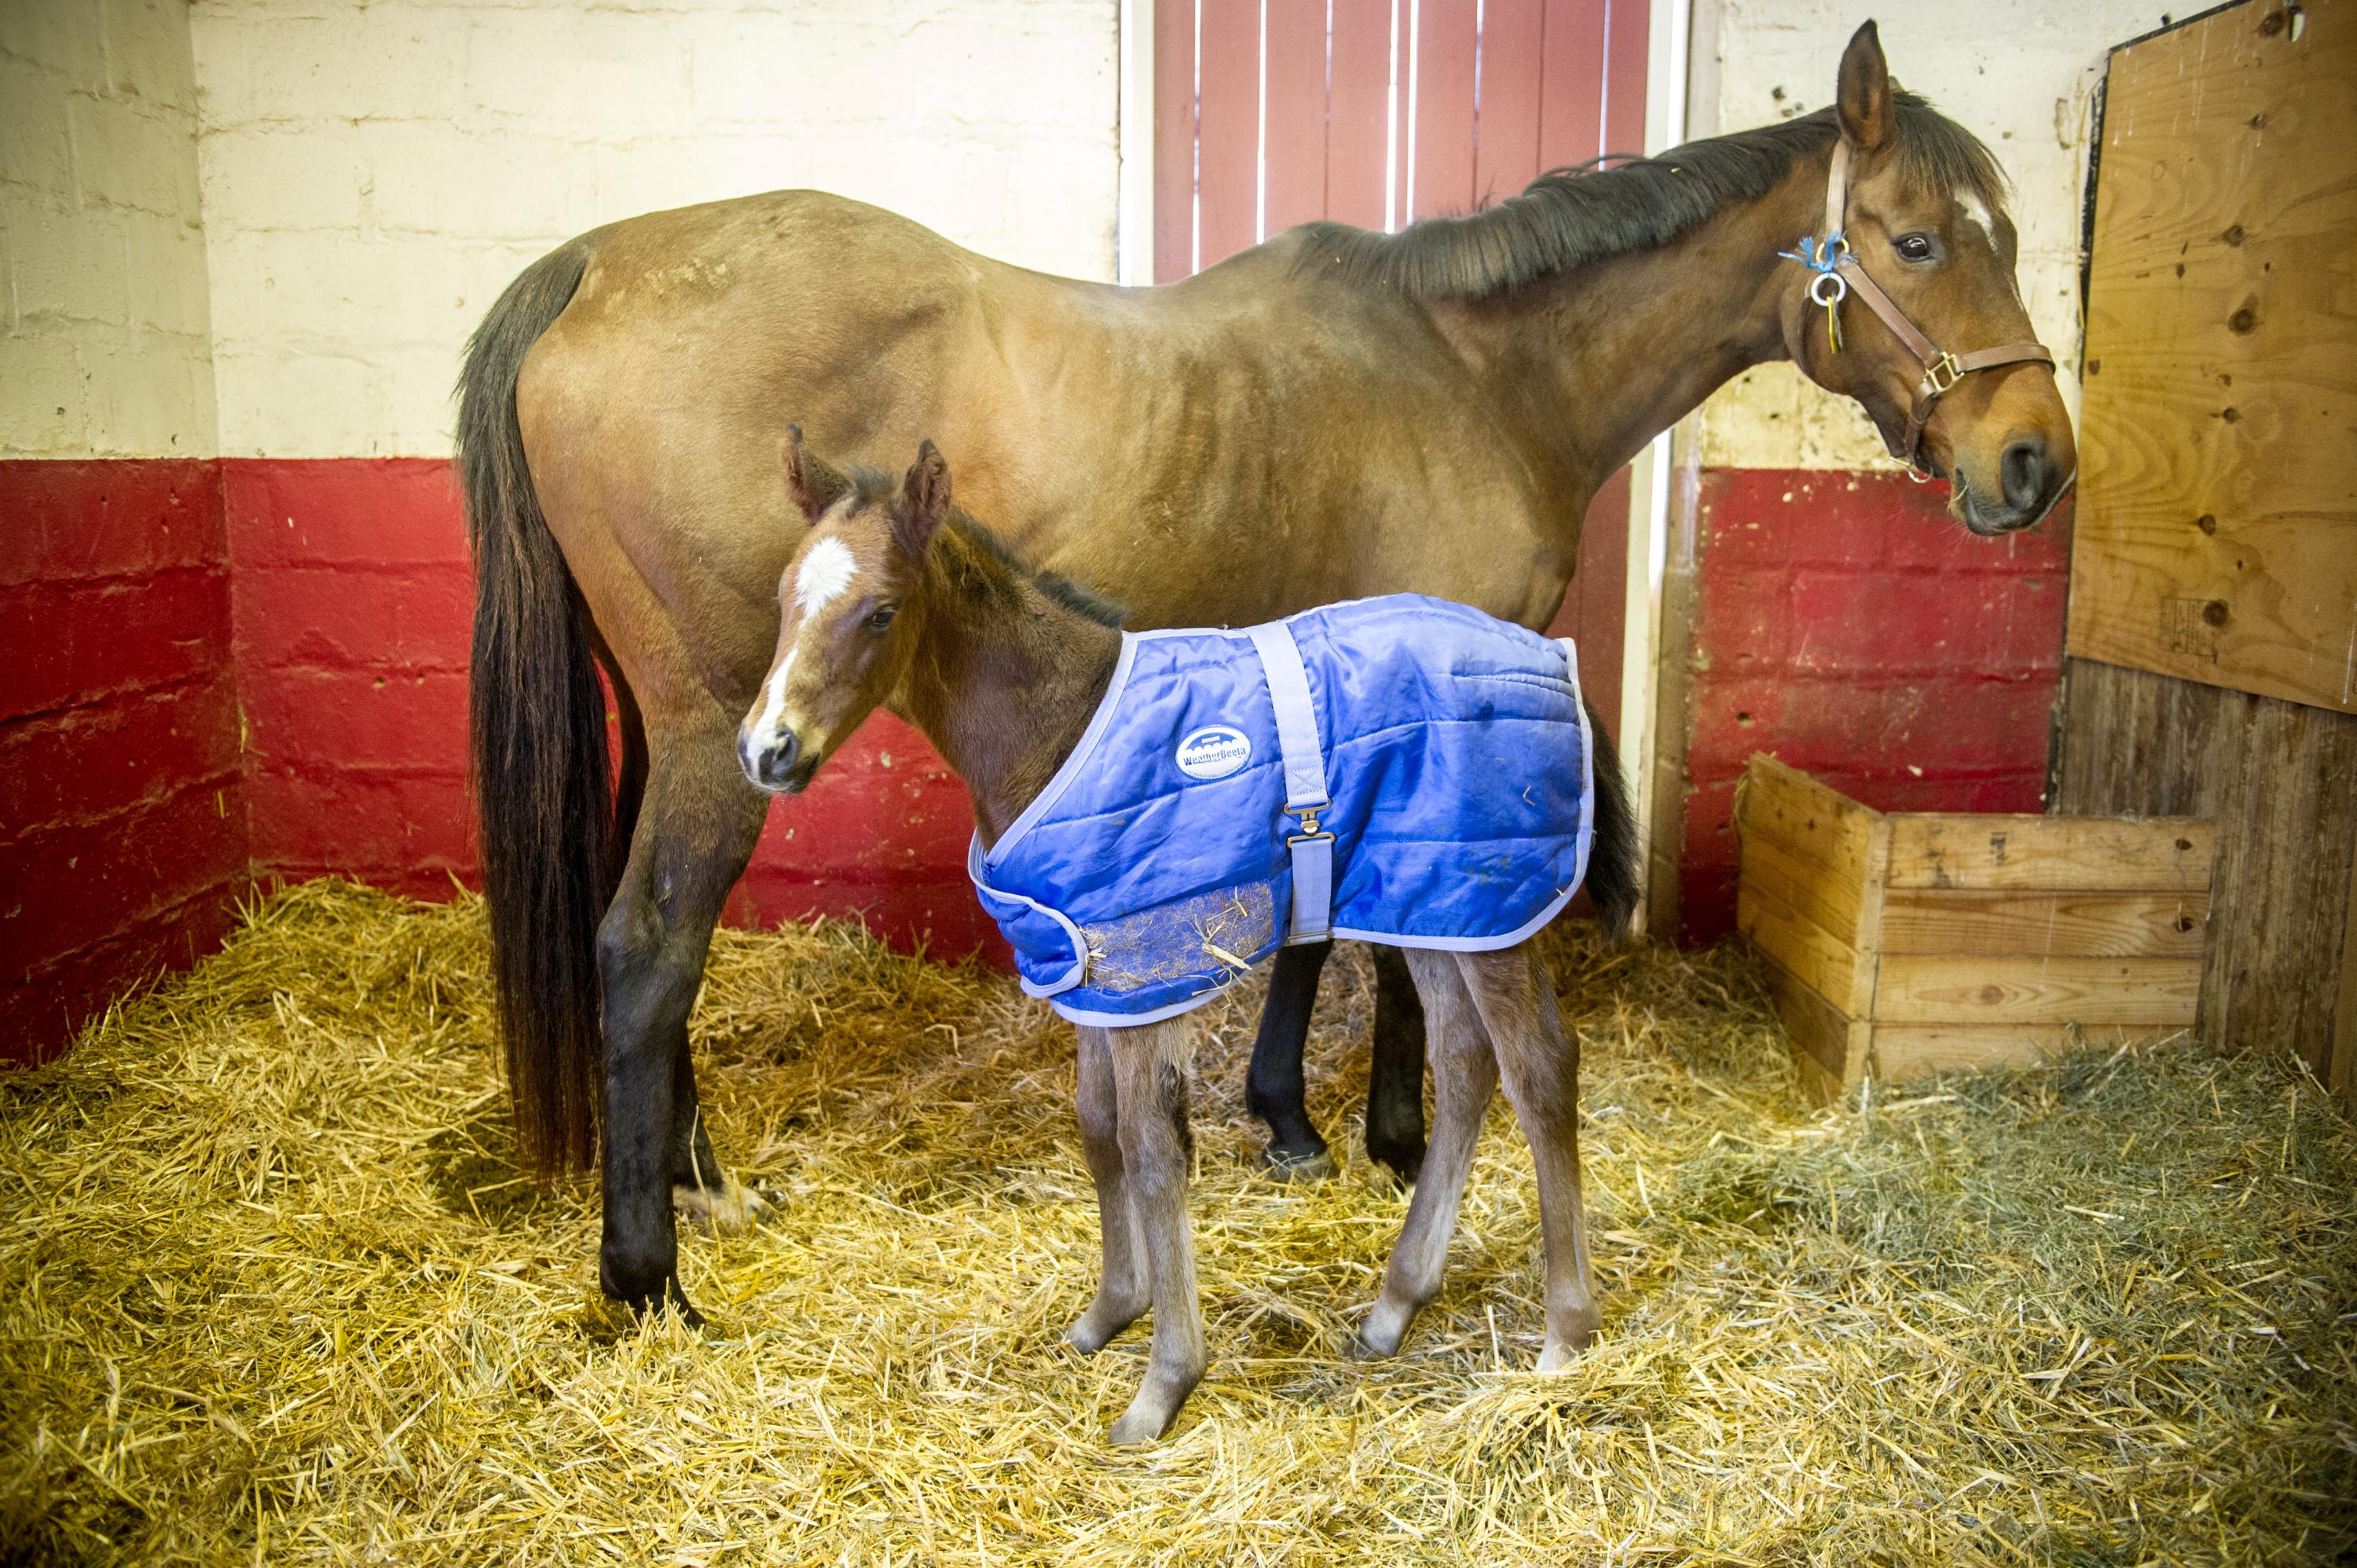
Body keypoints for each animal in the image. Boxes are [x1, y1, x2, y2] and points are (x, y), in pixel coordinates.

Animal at [456, 20, 2074, 1319]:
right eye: (1919, 242)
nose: (2034, 463)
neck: (1477, 376)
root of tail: (595, 266)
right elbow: (1397, 941)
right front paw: (1397, 1138)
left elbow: (1310, 915)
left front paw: (1289, 1116)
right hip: (723, 734)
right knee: (648, 950)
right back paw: (648, 1271)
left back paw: (699, 1181)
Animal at [746, 431, 1635, 1442]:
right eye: (784, 596)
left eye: (881, 610)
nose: (768, 750)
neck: (1061, 725)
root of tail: (1548, 657)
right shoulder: (1091, 971)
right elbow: (1098, 1129)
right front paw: (1108, 1313)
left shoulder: (1146, 971)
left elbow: (1152, 1151)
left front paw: (1163, 1383)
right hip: (1434, 901)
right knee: (1464, 1060)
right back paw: (1395, 1305)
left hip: (1491, 905)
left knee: (1539, 1067)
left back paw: (1566, 1333)